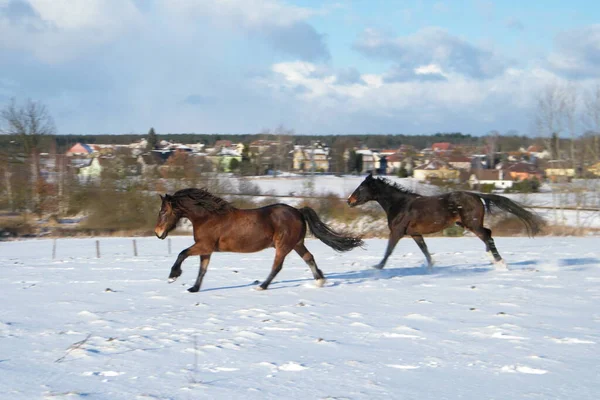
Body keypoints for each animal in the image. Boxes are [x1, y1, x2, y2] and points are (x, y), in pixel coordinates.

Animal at [152, 188, 364, 294]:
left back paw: (261, 286)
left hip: (283, 246)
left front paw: (173, 275)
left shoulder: (203, 245)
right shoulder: (207, 249)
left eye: (163, 211)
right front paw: (194, 289)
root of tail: (297, 211)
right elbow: (202, 270)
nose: (157, 233)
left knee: (277, 266)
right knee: (309, 258)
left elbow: (182, 253)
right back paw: (319, 280)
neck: (208, 217)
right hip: (296, 244)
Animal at [346, 177, 544, 270]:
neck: (400, 204)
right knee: (488, 234)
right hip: (467, 225)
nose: (349, 201)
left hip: (472, 225)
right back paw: (492, 257)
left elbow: (388, 251)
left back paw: (499, 262)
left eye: (361, 188)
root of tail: (476, 195)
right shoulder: (415, 234)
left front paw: (377, 267)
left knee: (488, 236)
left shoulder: (397, 232)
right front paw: (431, 267)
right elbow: (425, 251)